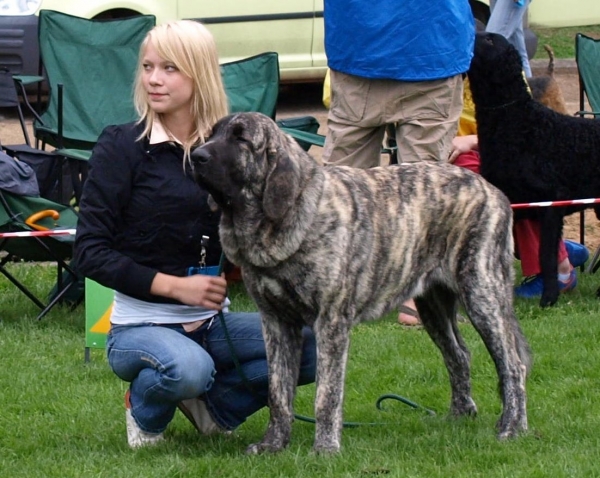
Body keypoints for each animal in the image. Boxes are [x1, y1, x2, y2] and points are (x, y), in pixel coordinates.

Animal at [191, 110, 528, 454]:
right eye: (212, 134)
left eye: (241, 139)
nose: (196, 156)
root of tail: (493, 191)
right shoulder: (276, 323)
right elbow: (278, 393)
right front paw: (272, 444)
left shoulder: (331, 323)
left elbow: (326, 394)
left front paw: (325, 449)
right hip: (433, 306)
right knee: (459, 355)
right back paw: (459, 416)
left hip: (483, 294)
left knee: (513, 364)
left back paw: (512, 427)